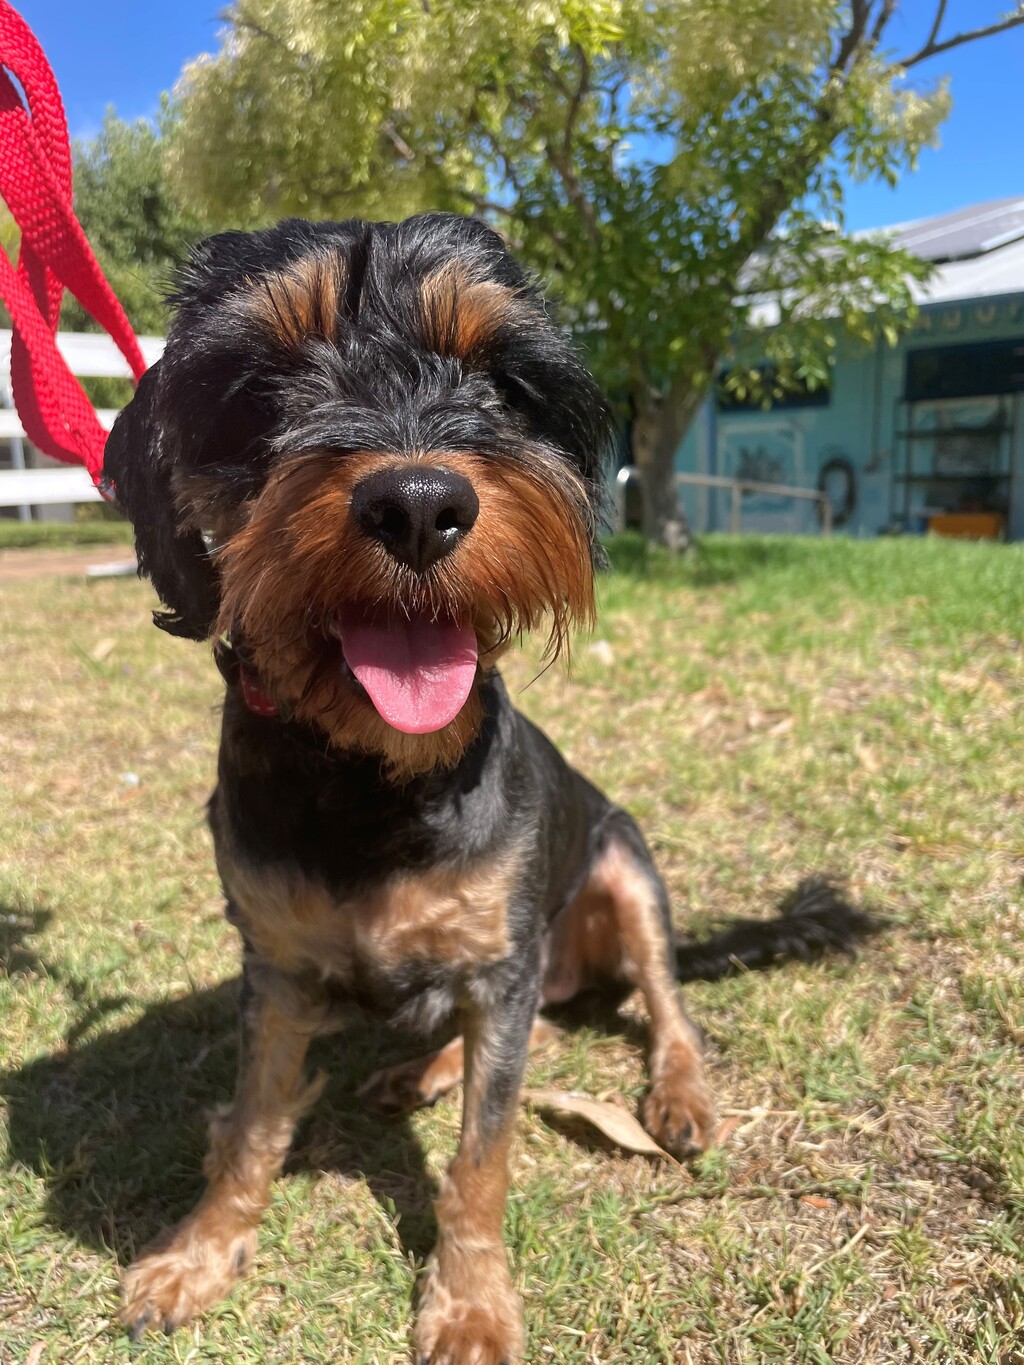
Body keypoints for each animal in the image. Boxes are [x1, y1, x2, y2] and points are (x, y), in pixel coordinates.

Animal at [106, 212, 873, 1365]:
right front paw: (197, 1254)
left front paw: (469, 1303)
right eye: (265, 381)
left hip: (624, 865)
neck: (375, 778)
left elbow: (481, 1156)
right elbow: (249, 1127)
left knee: (659, 1004)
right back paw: (415, 1071)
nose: (420, 503)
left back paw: (677, 1094)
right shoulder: (276, 971)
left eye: (497, 381)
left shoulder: (503, 961)